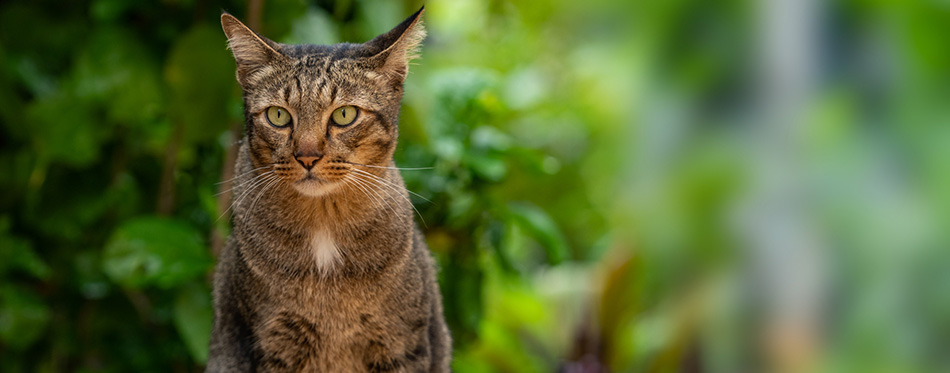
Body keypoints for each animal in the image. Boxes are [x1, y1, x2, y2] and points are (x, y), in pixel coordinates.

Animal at [210, 7, 456, 370]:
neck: (323, 228)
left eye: (344, 114)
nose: (307, 156)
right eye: (278, 115)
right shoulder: (270, 342)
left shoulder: (402, 343)